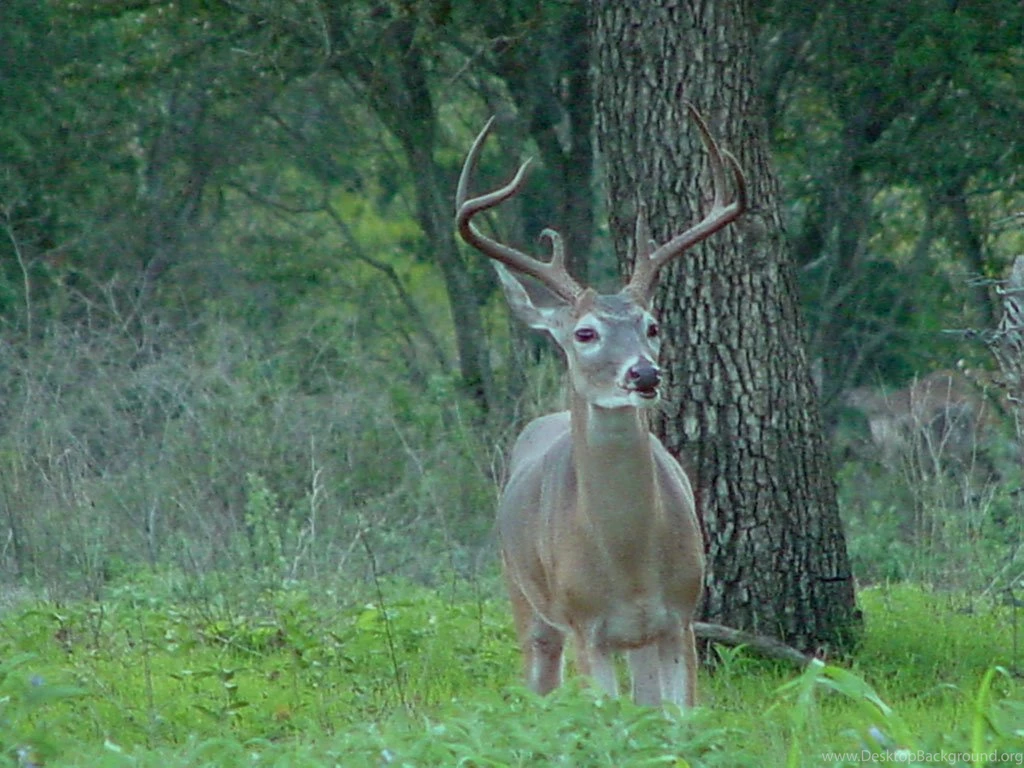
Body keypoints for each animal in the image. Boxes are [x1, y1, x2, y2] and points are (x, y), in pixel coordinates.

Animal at [455, 105, 745, 707]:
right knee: (540, 684)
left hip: (639, 640)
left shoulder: (681, 614)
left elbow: (682, 715)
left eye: (652, 326)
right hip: (525, 599)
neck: (628, 565)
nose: (645, 373)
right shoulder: (584, 623)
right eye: (585, 333)